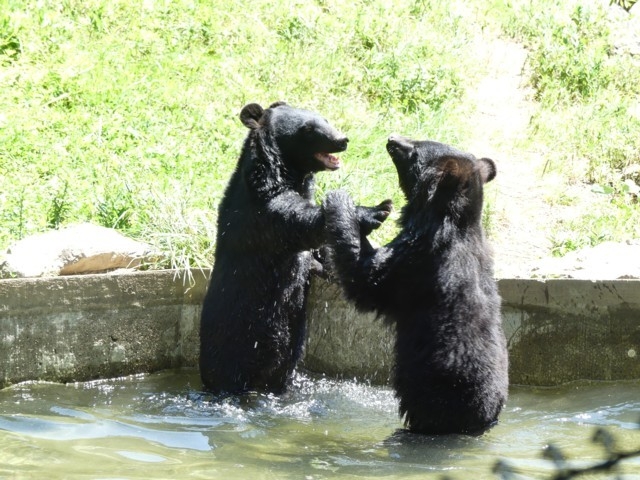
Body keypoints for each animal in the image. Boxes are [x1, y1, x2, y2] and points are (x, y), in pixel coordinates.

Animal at [200, 100, 390, 394]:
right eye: (308, 130)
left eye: (326, 119)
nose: (342, 140)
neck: (282, 175)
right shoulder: (262, 214)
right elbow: (298, 221)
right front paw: (375, 211)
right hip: (233, 352)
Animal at [324, 134, 510, 436]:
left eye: (415, 151)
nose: (392, 138)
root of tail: (483, 421)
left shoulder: (415, 261)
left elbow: (368, 277)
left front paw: (340, 200)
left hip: (430, 389)